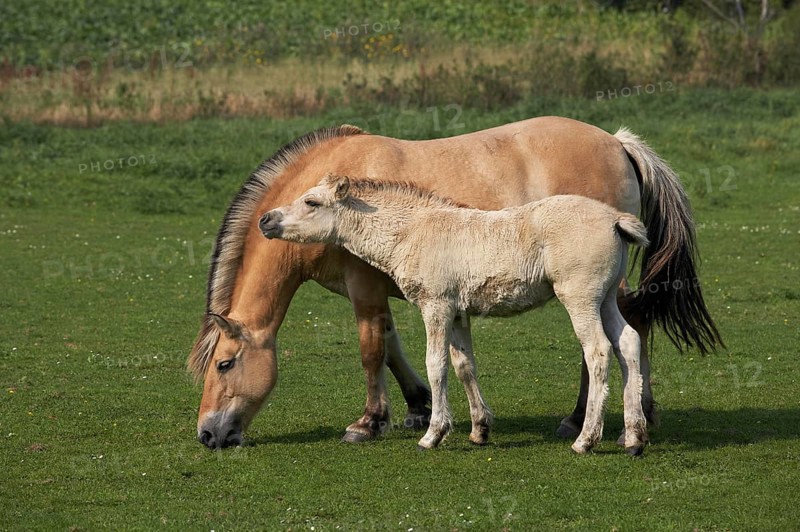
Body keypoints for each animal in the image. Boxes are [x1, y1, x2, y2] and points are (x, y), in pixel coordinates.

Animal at [259, 175, 651, 454]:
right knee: (628, 342)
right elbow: (464, 365)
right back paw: (634, 437)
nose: (266, 220)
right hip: (605, 299)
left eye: (311, 201)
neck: (413, 231)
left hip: (580, 298)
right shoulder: (459, 312)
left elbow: (437, 365)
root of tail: (615, 218)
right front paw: (480, 430)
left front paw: (434, 434)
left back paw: (586, 440)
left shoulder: (436, 306)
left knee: (598, 351)